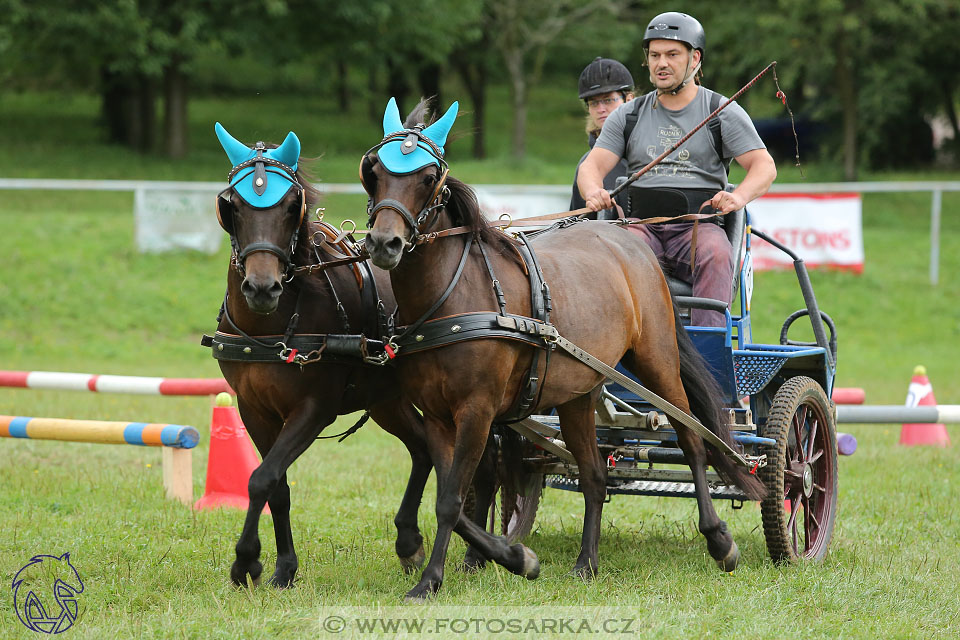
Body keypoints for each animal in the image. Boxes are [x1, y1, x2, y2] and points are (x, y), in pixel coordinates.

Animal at [360, 99, 764, 600]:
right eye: (374, 171)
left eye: (428, 176)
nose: (384, 243)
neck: (455, 295)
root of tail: (629, 240)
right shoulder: (437, 415)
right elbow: (449, 494)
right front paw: (511, 557)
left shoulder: (476, 410)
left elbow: (451, 499)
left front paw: (433, 578)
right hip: (578, 394)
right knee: (594, 474)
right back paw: (587, 561)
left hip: (657, 361)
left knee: (691, 438)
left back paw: (718, 540)